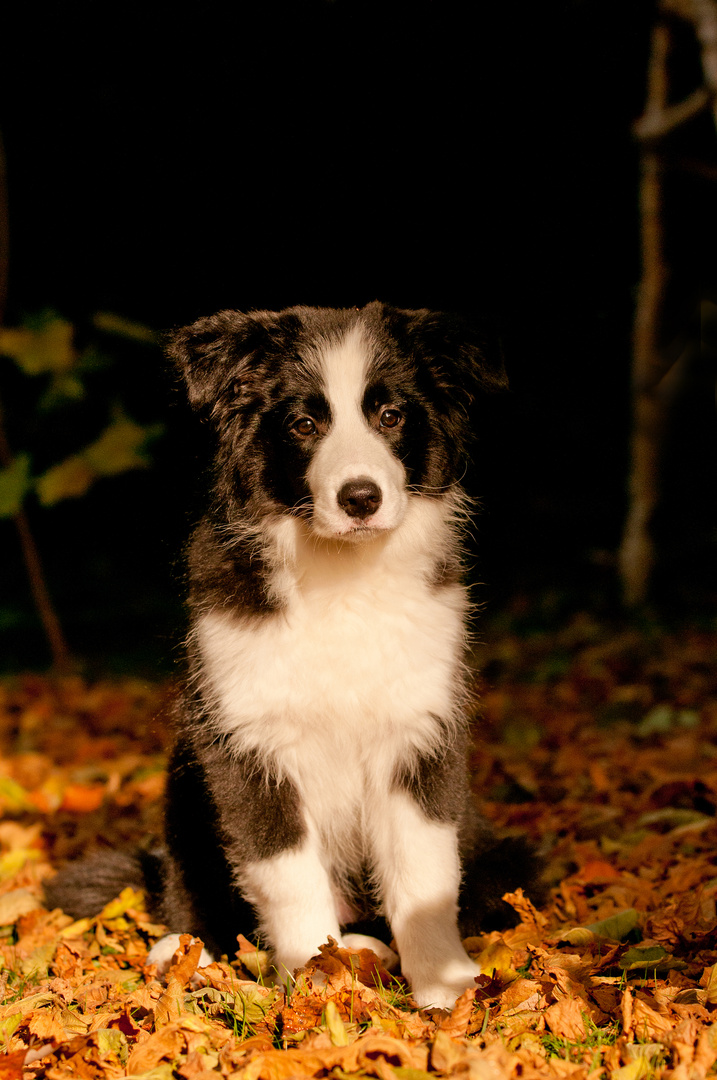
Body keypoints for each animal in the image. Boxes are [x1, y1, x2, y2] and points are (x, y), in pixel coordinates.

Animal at [44, 300, 535, 1006]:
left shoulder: (421, 731)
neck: (341, 575)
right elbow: (286, 871)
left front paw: (447, 989)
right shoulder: (246, 741)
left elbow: (424, 870)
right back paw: (187, 951)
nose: (360, 498)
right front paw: (314, 981)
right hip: (186, 777)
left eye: (392, 415)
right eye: (304, 424)